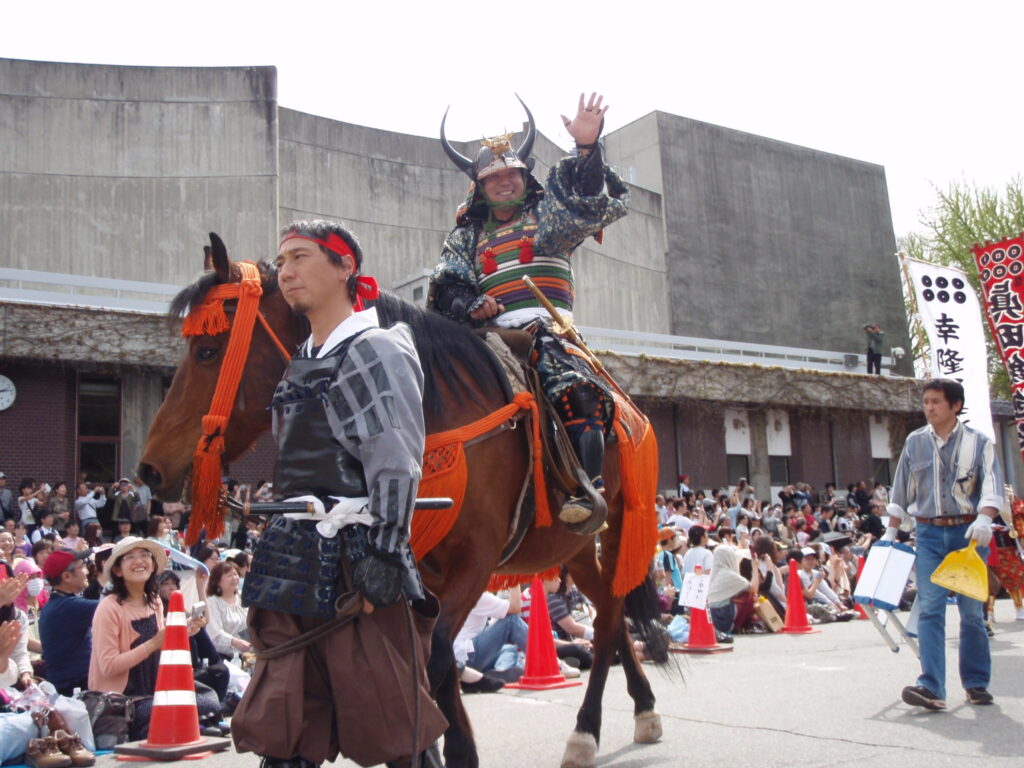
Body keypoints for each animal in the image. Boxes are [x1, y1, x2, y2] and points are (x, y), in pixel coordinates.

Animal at [138, 234, 669, 768]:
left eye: (208, 350)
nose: (149, 469)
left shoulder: (475, 558)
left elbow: (435, 655)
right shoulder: (416, 568)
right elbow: (430, 661)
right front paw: (444, 748)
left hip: (621, 519)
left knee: (610, 613)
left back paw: (589, 729)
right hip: (573, 548)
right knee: (609, 611)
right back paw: (641, 707)